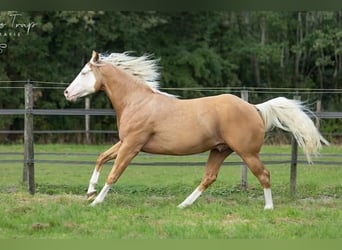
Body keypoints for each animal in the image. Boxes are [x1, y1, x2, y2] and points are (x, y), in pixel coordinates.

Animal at [64, 50, 328, 209]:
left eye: (85, 72)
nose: (67, 92)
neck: (136, 101)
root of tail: (254, 108)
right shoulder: (125, 141)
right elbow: (101, 158)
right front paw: (90, 191)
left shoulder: (132, 145)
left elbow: (114, 172)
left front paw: (95, 202)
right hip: (220, 150)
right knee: (209, 177)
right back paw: (183, 205)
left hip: (247, 153)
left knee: (264, 175)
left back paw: (268, 207)